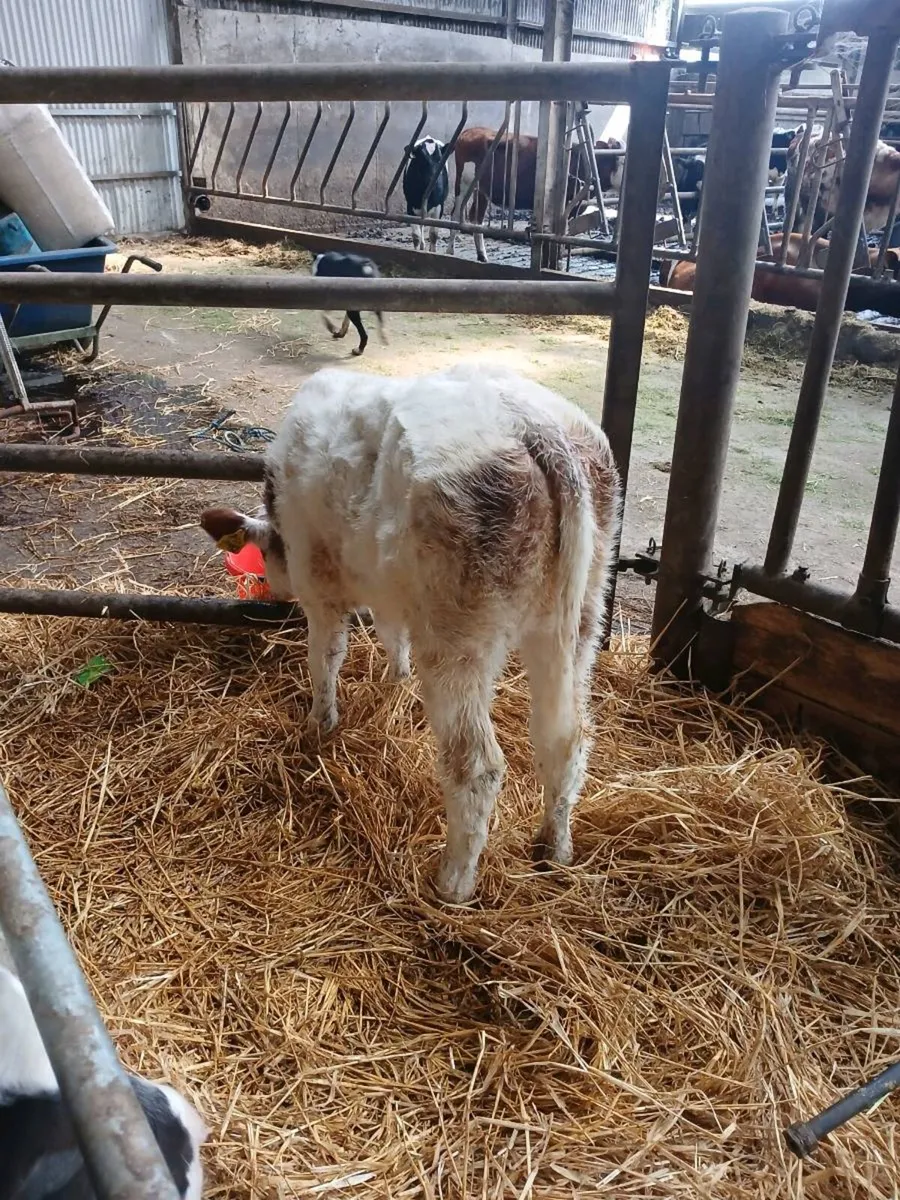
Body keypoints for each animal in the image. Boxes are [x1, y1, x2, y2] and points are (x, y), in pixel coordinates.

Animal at [200, 362, 621, 905]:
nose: (275, 587)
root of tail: (537, 426)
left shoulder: (320, 586)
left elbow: (326, 658)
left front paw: (320, 723)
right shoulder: (389, 590)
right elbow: (390, 632)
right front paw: (394, 681)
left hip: (458, 638)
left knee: (477, 766)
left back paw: (453, 883)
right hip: (579, 618)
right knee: (564, 739)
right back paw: (553, 848)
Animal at [448, 127, 625, 262]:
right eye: (622, 161)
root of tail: (471, 130)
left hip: (482, 190)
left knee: (476, 218)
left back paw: (482, 255)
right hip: (463, 183)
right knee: (456, 214)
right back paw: (450, 251)